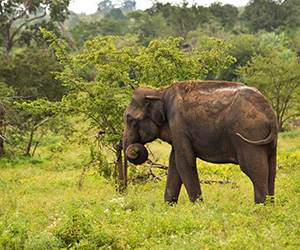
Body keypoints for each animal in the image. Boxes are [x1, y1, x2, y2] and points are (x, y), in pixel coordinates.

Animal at [123, 81, 278, 204]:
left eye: (130, 119)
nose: (135, 150)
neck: (160, 92)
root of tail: (270, 114)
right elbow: (174, 163)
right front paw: (167, 208)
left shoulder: (178, 125)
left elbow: (185, 162)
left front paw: (199, 208)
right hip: (268, 140)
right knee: (270, 169)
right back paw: (270, 208)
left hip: (248, 133)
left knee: (254, 169)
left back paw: (259, 209)